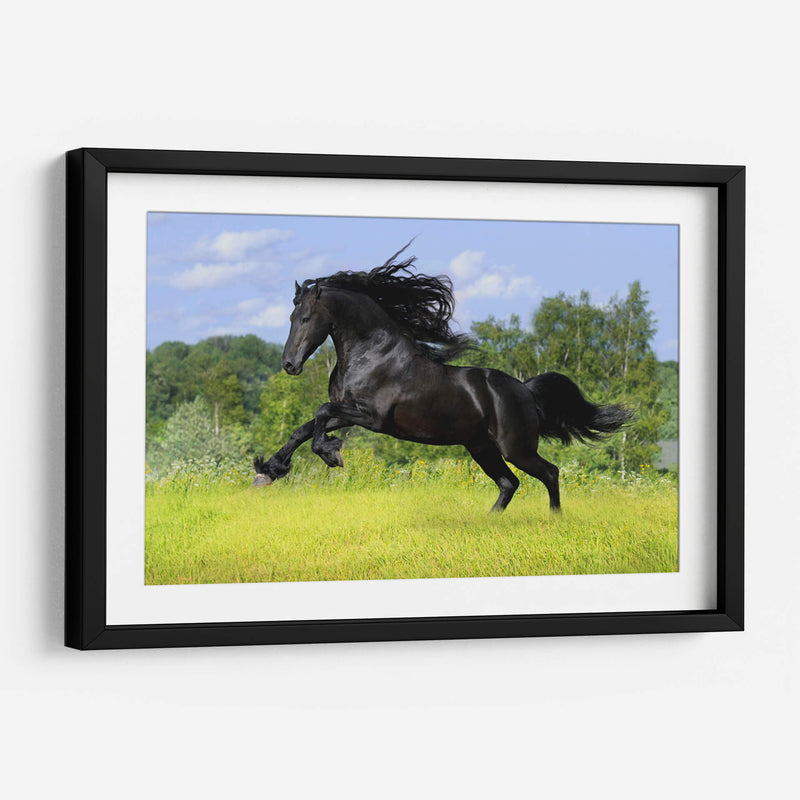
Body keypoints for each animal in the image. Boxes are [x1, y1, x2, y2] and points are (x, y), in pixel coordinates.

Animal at [252, 247, 632, 513]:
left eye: (305, 317)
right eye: (290, 317)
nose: (289, 365)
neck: (371, 355)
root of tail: (525, 389)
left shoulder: (371, 418)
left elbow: (319, 412)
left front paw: (332, 455)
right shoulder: (347, 412)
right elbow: (304, 428)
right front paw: (267, 471)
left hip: (516, 447)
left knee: (549, 473)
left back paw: (555, 520)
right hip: (481, 447)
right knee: (509, 483)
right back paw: (487, 522)